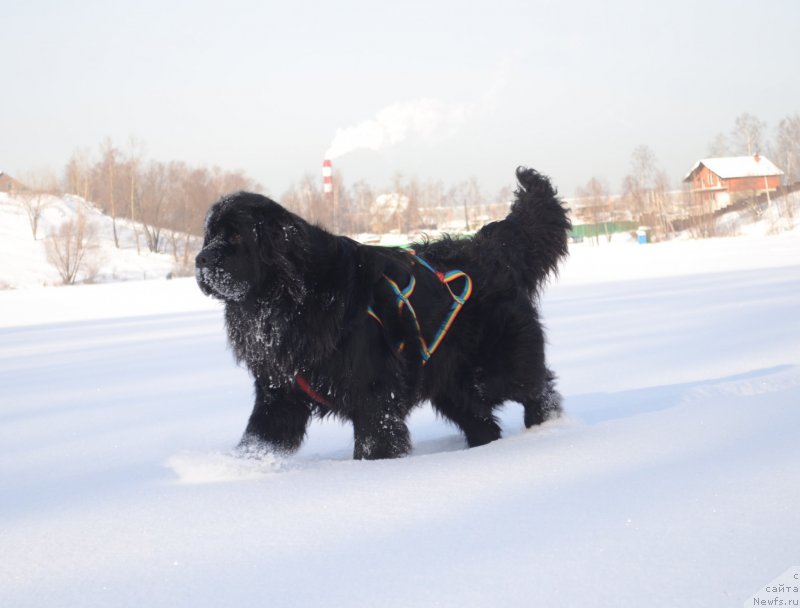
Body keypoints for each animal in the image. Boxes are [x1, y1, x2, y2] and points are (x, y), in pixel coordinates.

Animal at [195, 169, 568, 458]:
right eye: (208, 236)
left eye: (235, 237)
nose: (199, 259)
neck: (286, 301)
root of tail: (492, 249)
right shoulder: (279, 392)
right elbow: (260, 436)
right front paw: (238, 470)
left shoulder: (374, 391)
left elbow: (375, 440)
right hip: (452, 383)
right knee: (481, 419)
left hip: (495, 368)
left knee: (538, 388)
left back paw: (548, 429)